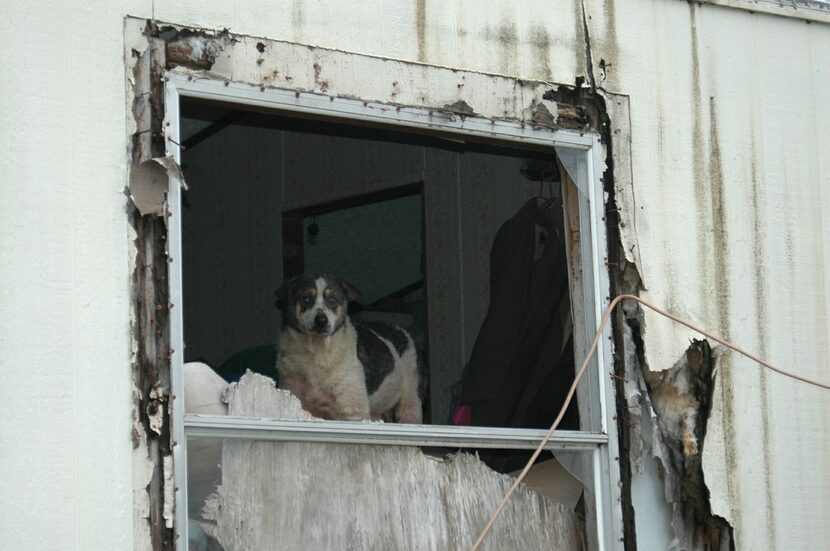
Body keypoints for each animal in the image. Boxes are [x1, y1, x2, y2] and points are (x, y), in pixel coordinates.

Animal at [276, 274, 422, 424]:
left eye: (333, 300)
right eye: (306, 298)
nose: (321, 321)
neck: (317, 351)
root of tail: (398, 329)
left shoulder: (353, 412)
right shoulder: (297, 399)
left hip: (410, 397)